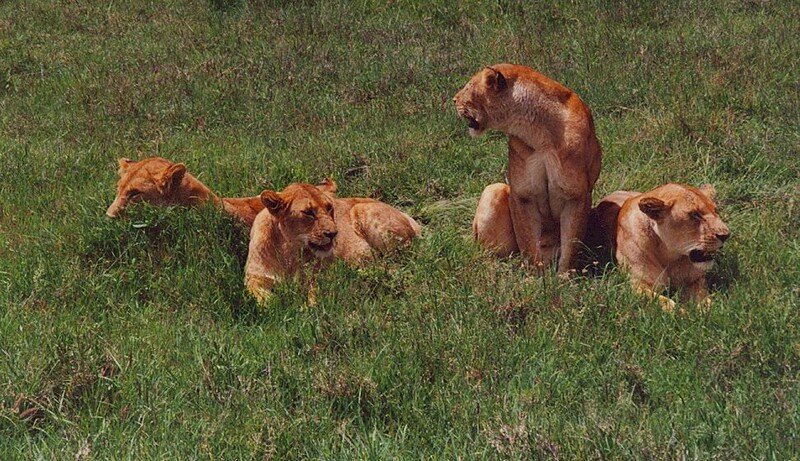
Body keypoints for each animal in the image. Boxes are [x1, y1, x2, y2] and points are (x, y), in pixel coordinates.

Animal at [456, 64, 600, 274]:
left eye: (468, 87)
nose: (454, 100)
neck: (540, 134)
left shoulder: (577, 196)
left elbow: (571, 244)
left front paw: (564, 277)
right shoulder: (524, 195)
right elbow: (527, 241)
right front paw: (536, 277)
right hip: (494, 190)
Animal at [592, 183, 728, 310]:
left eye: (716, 211)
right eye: (695, 215)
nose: (726, 235)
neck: (669, 257)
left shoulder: (695, 280)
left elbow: (704, 299)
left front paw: (706, 310)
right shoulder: (638, 285)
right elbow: (666, 304)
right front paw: (684, 314)